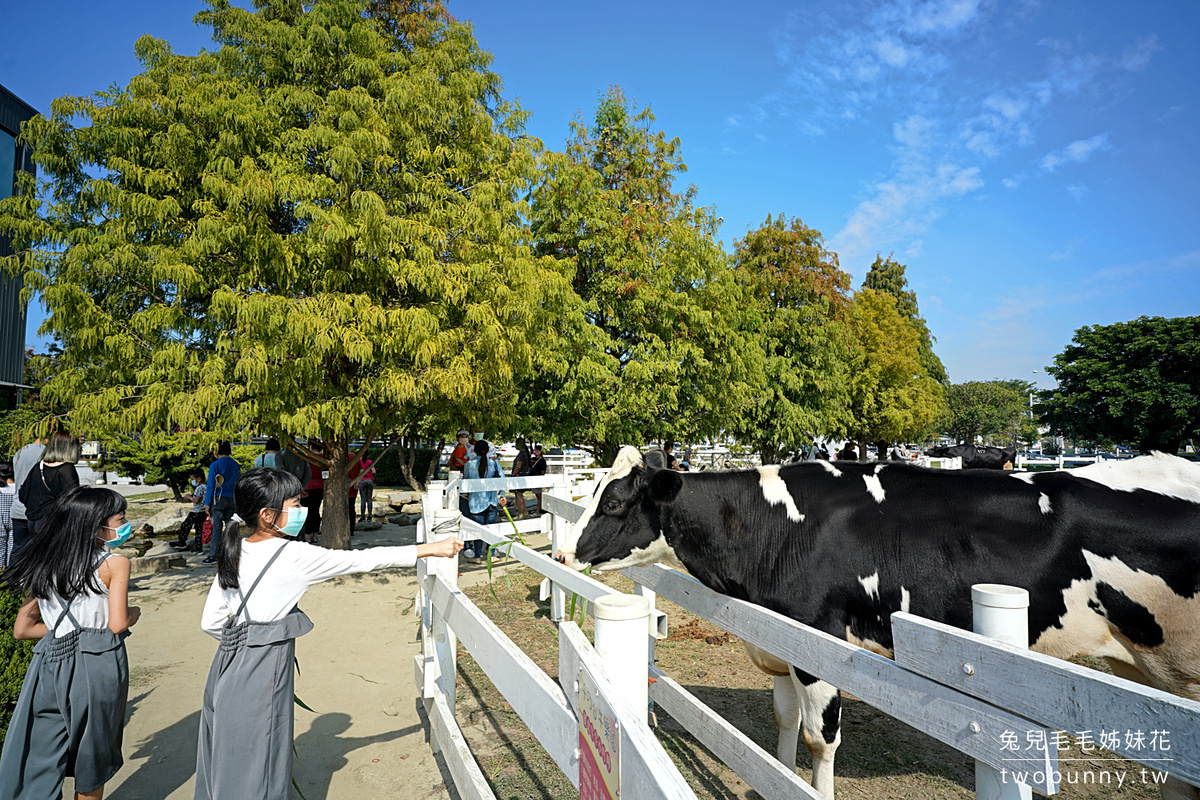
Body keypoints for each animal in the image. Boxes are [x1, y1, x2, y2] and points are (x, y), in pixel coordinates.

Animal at [556, 448, 1200, 800]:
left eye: (614, 503)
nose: (562, 553)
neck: (775, 528)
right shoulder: (783, 642)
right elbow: (784, 720)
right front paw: (778, 775)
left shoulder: (820, 637)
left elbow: (820, 738)